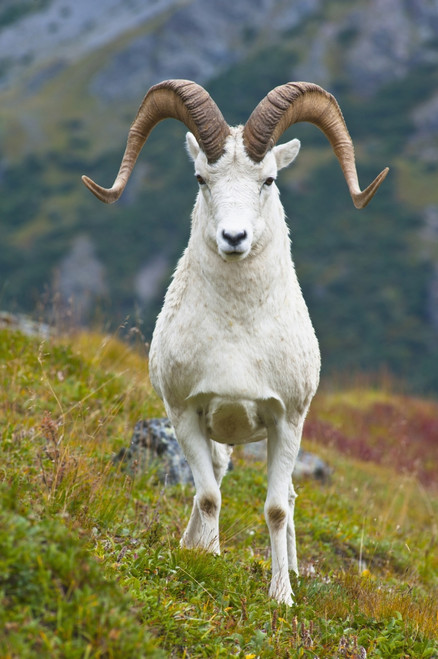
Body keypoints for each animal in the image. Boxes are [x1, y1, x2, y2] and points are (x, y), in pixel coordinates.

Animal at [82, 79, 388, 605]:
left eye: (268, 180)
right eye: (202, 178)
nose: (234, 237)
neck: (237, 335)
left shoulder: (287, 421)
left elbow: (276, 510)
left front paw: (282, 596)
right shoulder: (184, 414)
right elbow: (208, 497)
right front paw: (203, 561)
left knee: (287, 497)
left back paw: (292, 572)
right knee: (215, 479)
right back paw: (195, 546)